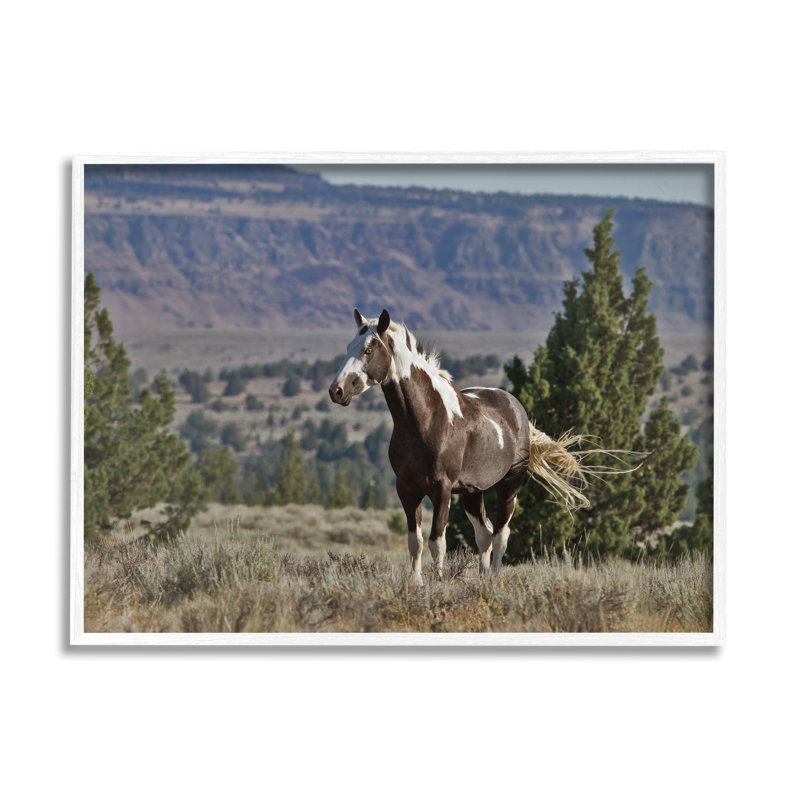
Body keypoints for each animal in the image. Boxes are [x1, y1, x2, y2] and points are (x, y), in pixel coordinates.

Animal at [329, 308, 603, 585]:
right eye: (349, 346)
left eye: (368, 350)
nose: (336, 391)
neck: (427, 420)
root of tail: (518, 410)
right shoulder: (407, 489)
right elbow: (415, 542)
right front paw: (416, 583)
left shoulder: (442, 489)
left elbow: (437, 542)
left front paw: (438, 582)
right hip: (473, 492)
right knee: (484, 534)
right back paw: (482, 577)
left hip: (508, 487)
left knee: (500, 535)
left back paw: (493, 579)